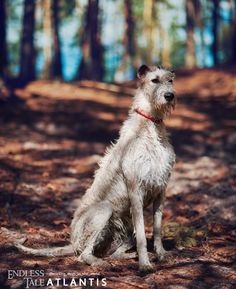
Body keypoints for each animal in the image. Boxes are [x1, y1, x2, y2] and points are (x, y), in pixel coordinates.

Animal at [14, 64, 176, 272]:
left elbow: (157, 228)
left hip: (123, 226)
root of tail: (72, 242)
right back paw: (101, 262)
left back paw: (126, 256)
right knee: (83, 255)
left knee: (114, 252)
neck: (150, 126)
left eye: (170, 80)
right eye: (154, 80)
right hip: (104, 210)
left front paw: (161, 254)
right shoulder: (135, 190)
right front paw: (145, 264)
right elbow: (142, 234)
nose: (169, 96)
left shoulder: (160, 191)